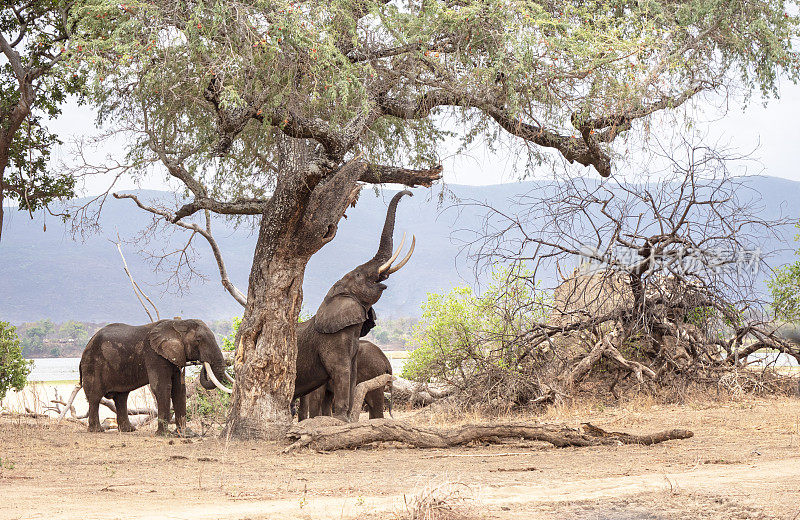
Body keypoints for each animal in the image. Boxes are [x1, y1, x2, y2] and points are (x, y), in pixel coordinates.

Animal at [78, 318, 233, 436]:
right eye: (198, 340)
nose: (202, 363)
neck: (178, 324)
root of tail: (87, 346)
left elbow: (179, 389)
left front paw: (186, 433)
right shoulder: (154, 354)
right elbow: (162, 387)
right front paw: (164, 434)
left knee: (121, 397)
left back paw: (129, 430)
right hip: (92, 364)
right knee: (95, 396)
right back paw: (97, 430)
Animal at [292, 191, 416, 422]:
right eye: (358, 274)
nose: (410, 193)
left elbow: (351, 373)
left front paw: (345, 419)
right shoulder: (331, 342)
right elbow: (341, 372)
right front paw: (341, 419)